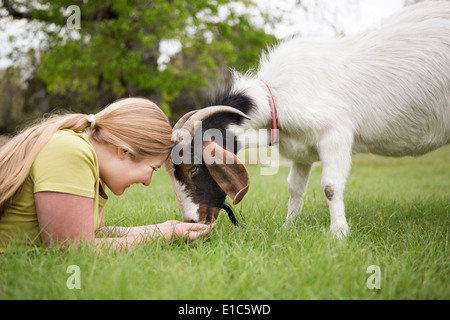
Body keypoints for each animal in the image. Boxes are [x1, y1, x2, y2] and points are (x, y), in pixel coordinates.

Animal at [167, 1, 450, 238]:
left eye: (194, 168)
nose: (192, 221)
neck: (277, 96)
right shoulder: (301, 150)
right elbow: (294, 187)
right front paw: (288, 226)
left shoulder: (335, 134)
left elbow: (330, 186)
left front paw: (339, 234)